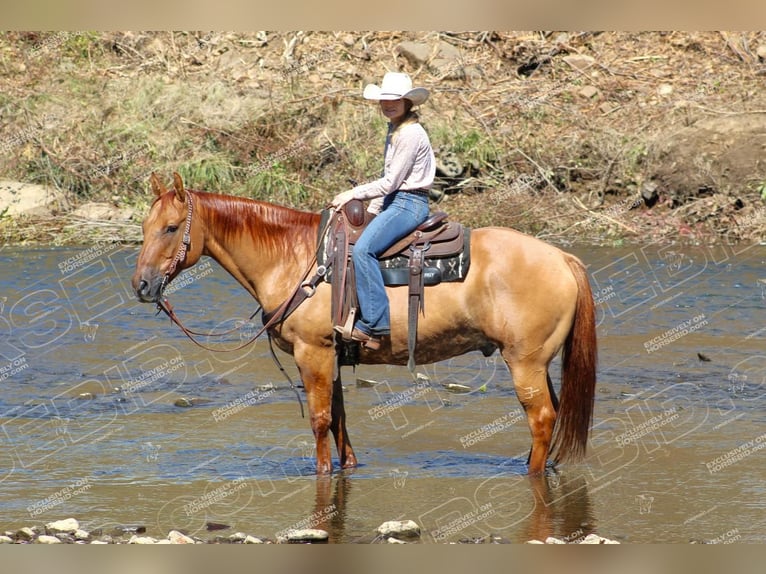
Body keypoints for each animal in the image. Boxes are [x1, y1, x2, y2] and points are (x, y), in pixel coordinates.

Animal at [134, 173, 600, 480]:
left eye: (171, 228)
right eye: (144, 227)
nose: (141, 285)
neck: (296, 259)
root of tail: (563, 258)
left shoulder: (313, 353)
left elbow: (320, 420)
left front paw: (322, 472)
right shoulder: (333, 356)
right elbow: (339, 419)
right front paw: (349, 467)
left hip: (524, 361)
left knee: (541, 418)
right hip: (539, 362)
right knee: (552, 415)